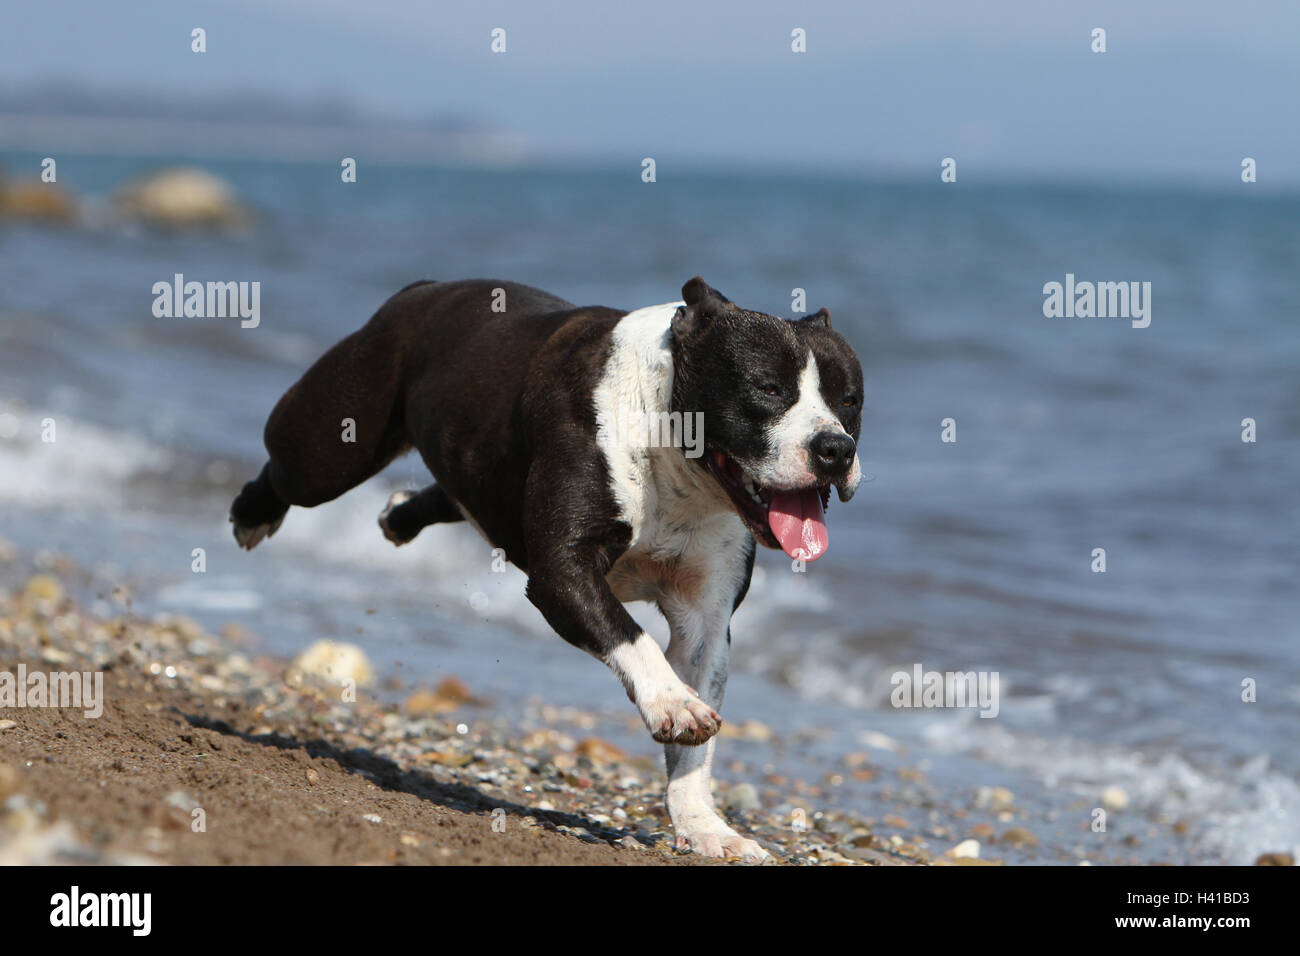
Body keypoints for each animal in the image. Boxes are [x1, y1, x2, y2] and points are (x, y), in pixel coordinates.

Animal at [231, 274, 863, 858]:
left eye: (851, 401)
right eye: (768, 388)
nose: (836, 448)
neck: (677, 458)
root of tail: (424, 289)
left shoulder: (705, 619)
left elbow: (693, 750)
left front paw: (705, 827)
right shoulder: (563, 571)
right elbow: (632, 637)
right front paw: (672, 700)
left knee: (451, 494)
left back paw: (400, 516)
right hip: (332, 444)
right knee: (290, 470)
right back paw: (252, 513)